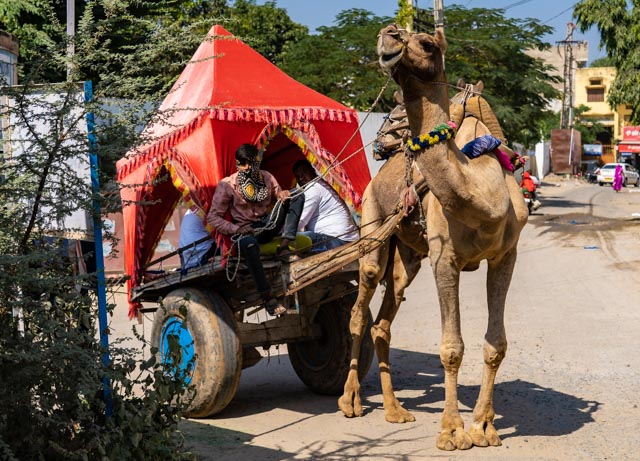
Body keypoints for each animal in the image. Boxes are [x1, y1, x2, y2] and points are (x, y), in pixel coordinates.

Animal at [338, 24, 528, 450]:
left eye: (426, 43)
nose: (388, 35)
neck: (484, 195)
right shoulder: (446, 259)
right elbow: (452, 347)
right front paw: (452, 431)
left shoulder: (505, 256)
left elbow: (496, 343)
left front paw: (484, 427)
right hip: (372, 223)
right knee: (359, 308)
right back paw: (350, 400)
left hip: (408, 257)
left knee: (384, 318)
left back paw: (395, 410)